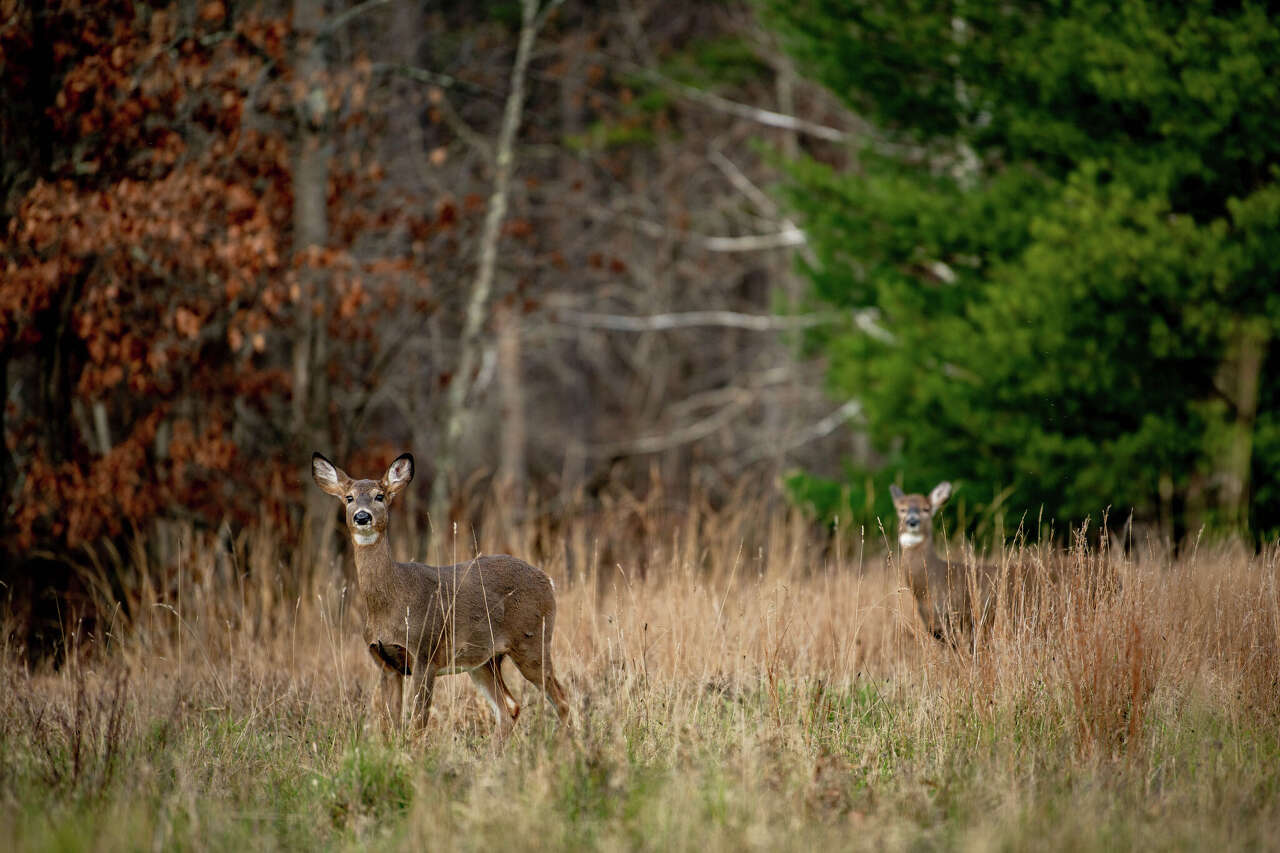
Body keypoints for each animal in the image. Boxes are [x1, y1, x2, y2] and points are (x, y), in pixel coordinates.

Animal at [312, 451, 571, 740]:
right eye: (349, 497)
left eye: (380, 496)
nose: (362, 517)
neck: (392, 601)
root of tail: (548, 581)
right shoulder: (385, 663)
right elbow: (389, 725)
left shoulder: (425, 653)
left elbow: (417, 723)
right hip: (485, 660)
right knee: (509, 708)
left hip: (532, 641)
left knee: (561, 700)